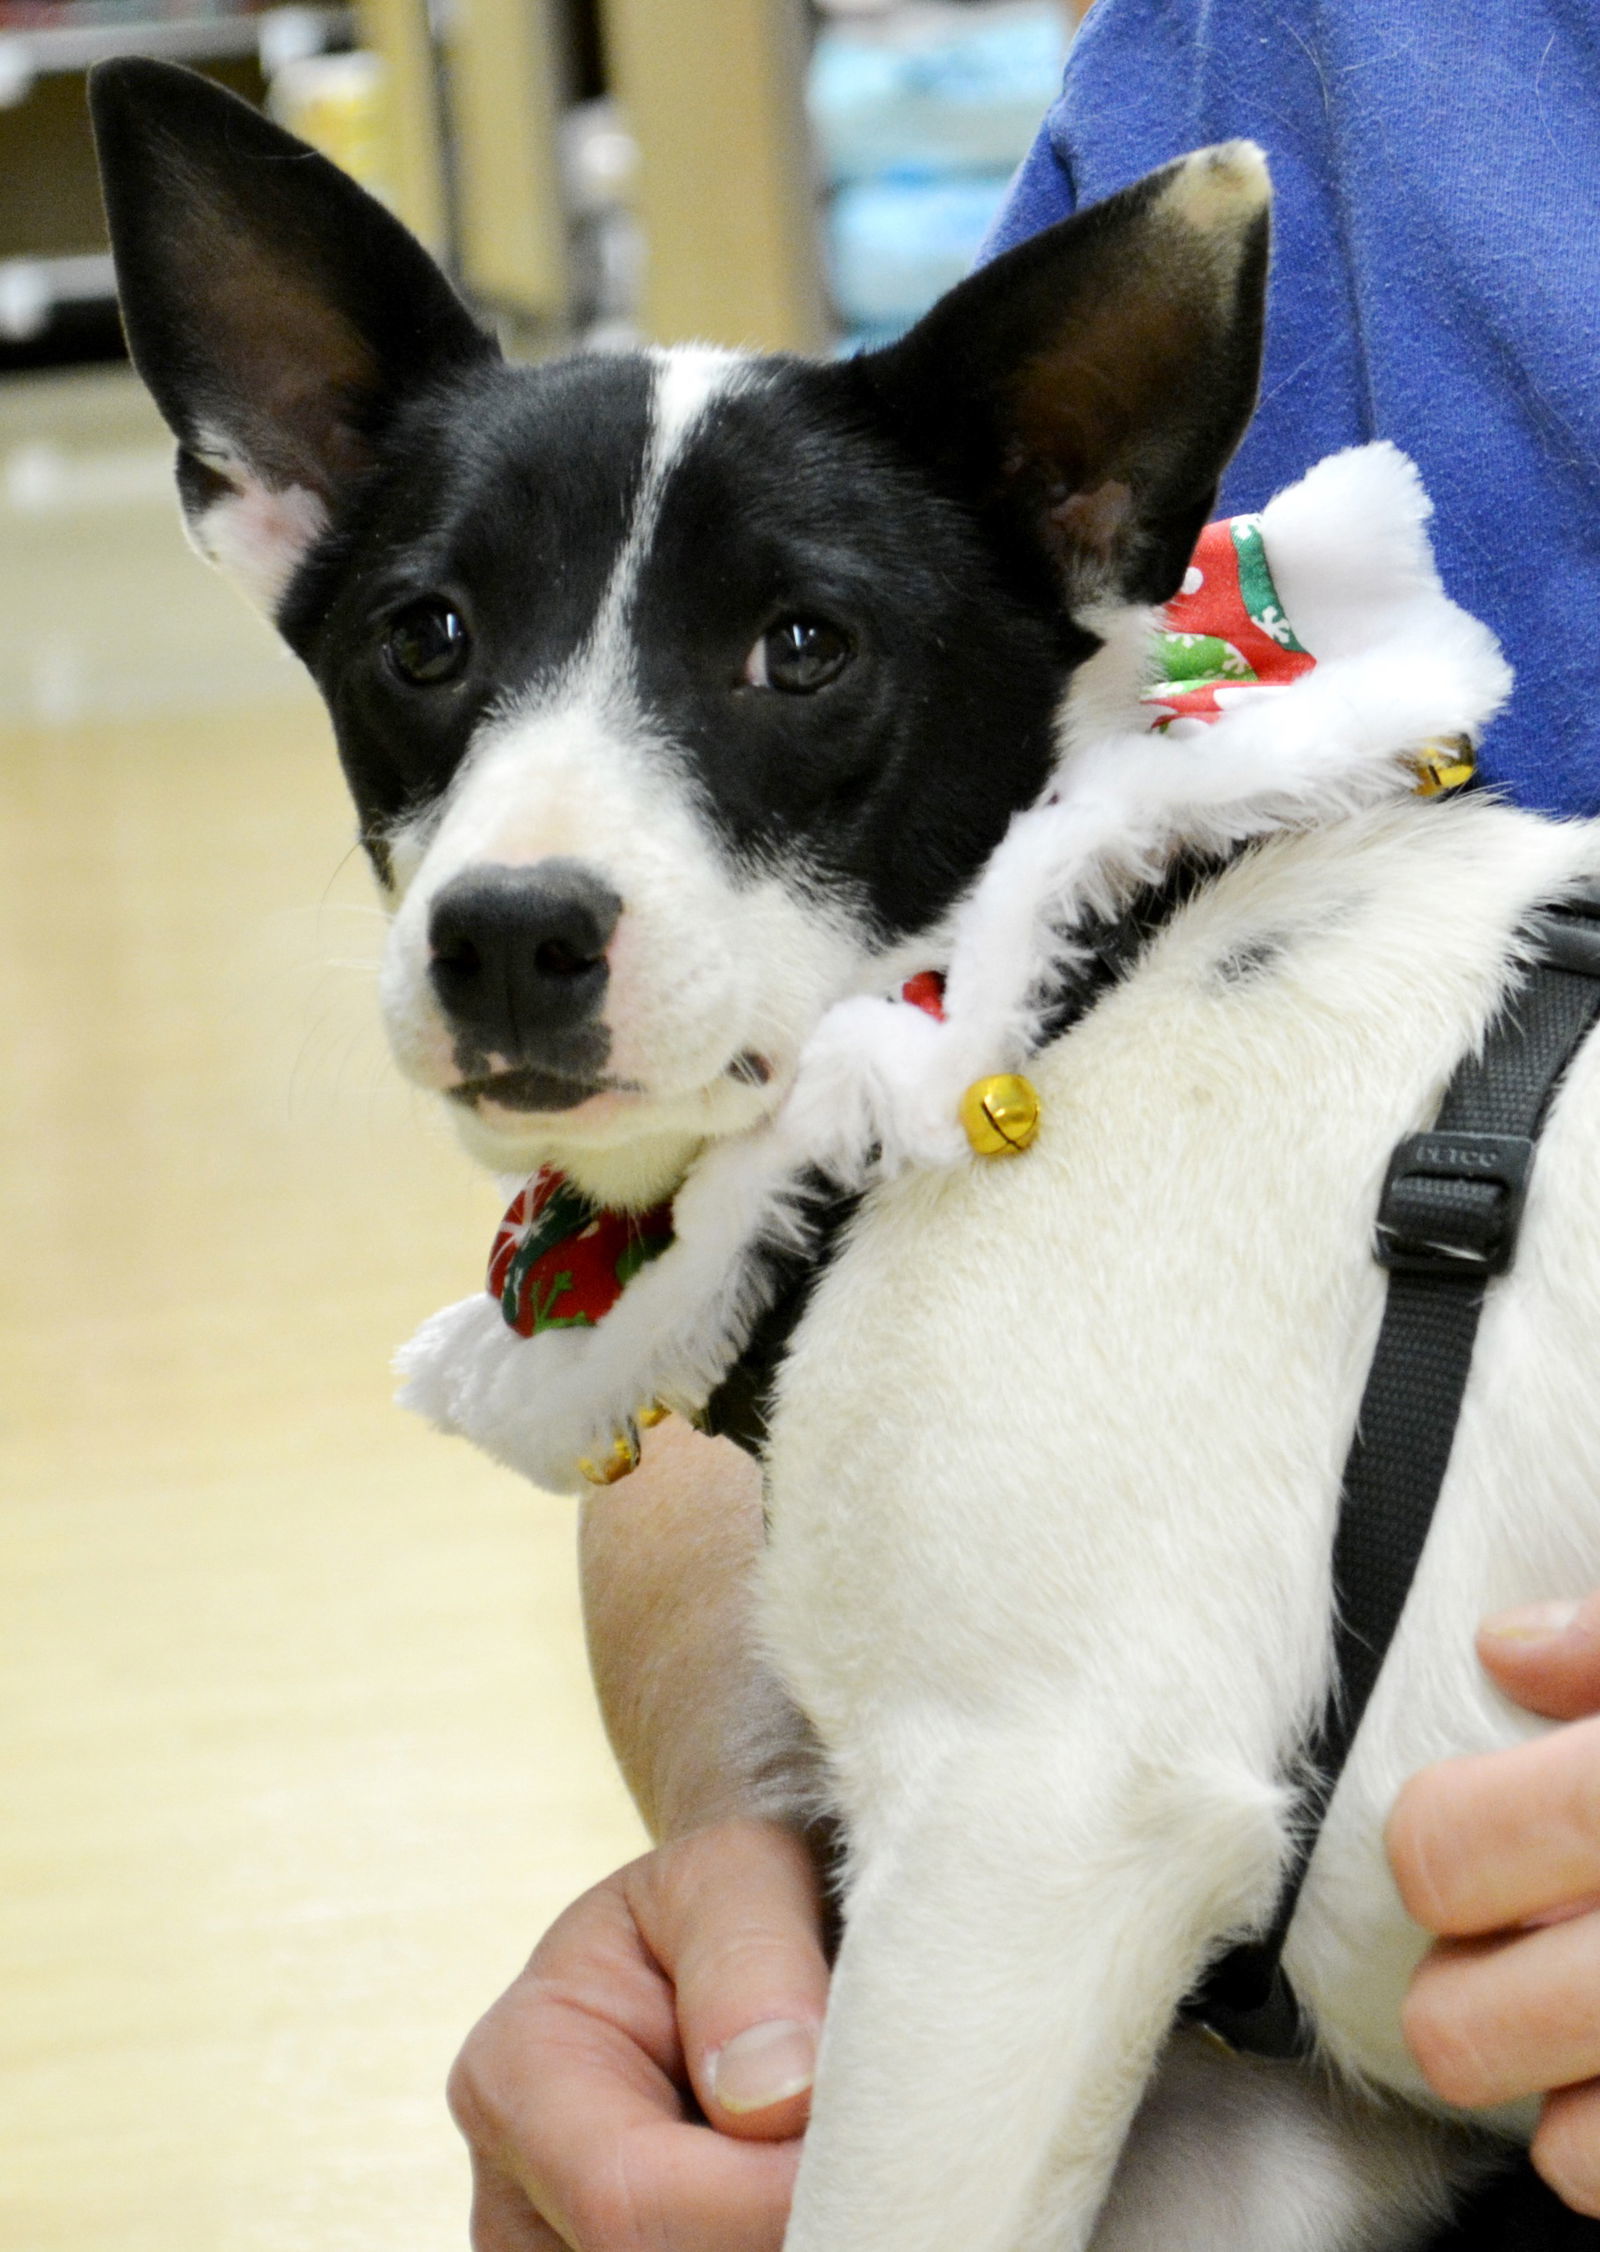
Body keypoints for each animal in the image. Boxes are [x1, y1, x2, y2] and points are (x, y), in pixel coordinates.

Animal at [96, 65, 1600, 2252]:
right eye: (424, 636)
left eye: (802, 646)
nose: (508, 935)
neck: (1055, 994)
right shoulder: (1247, 2124)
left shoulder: (1028, 1853)